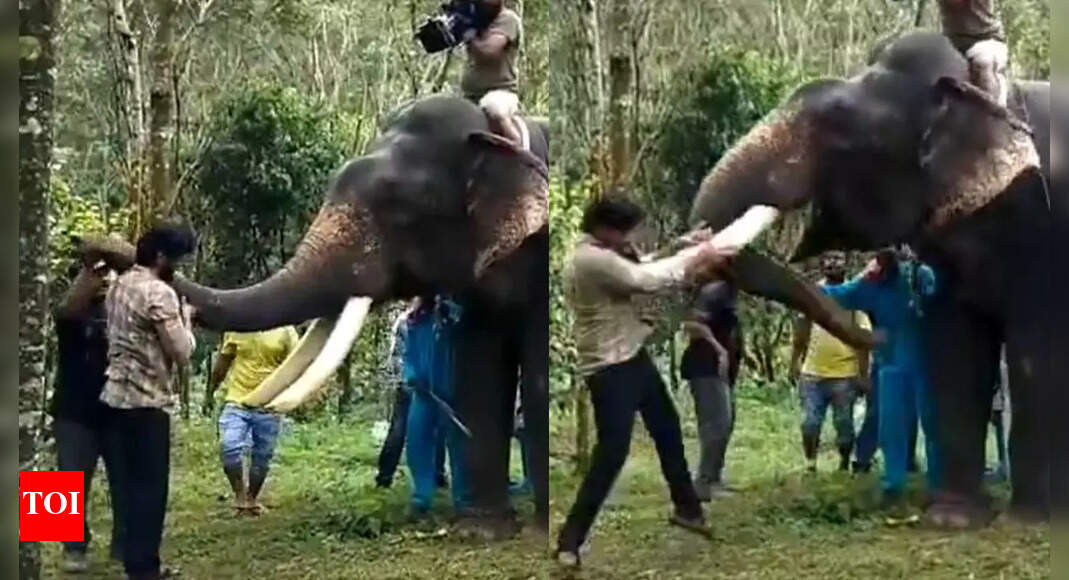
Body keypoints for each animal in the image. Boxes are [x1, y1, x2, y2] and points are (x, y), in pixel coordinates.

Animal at [688, 30, 1060, 527]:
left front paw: (1032, 520)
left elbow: (1039, 350)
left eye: (839, 134)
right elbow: (954, 345)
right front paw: (952, 518)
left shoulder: (1049, 229)